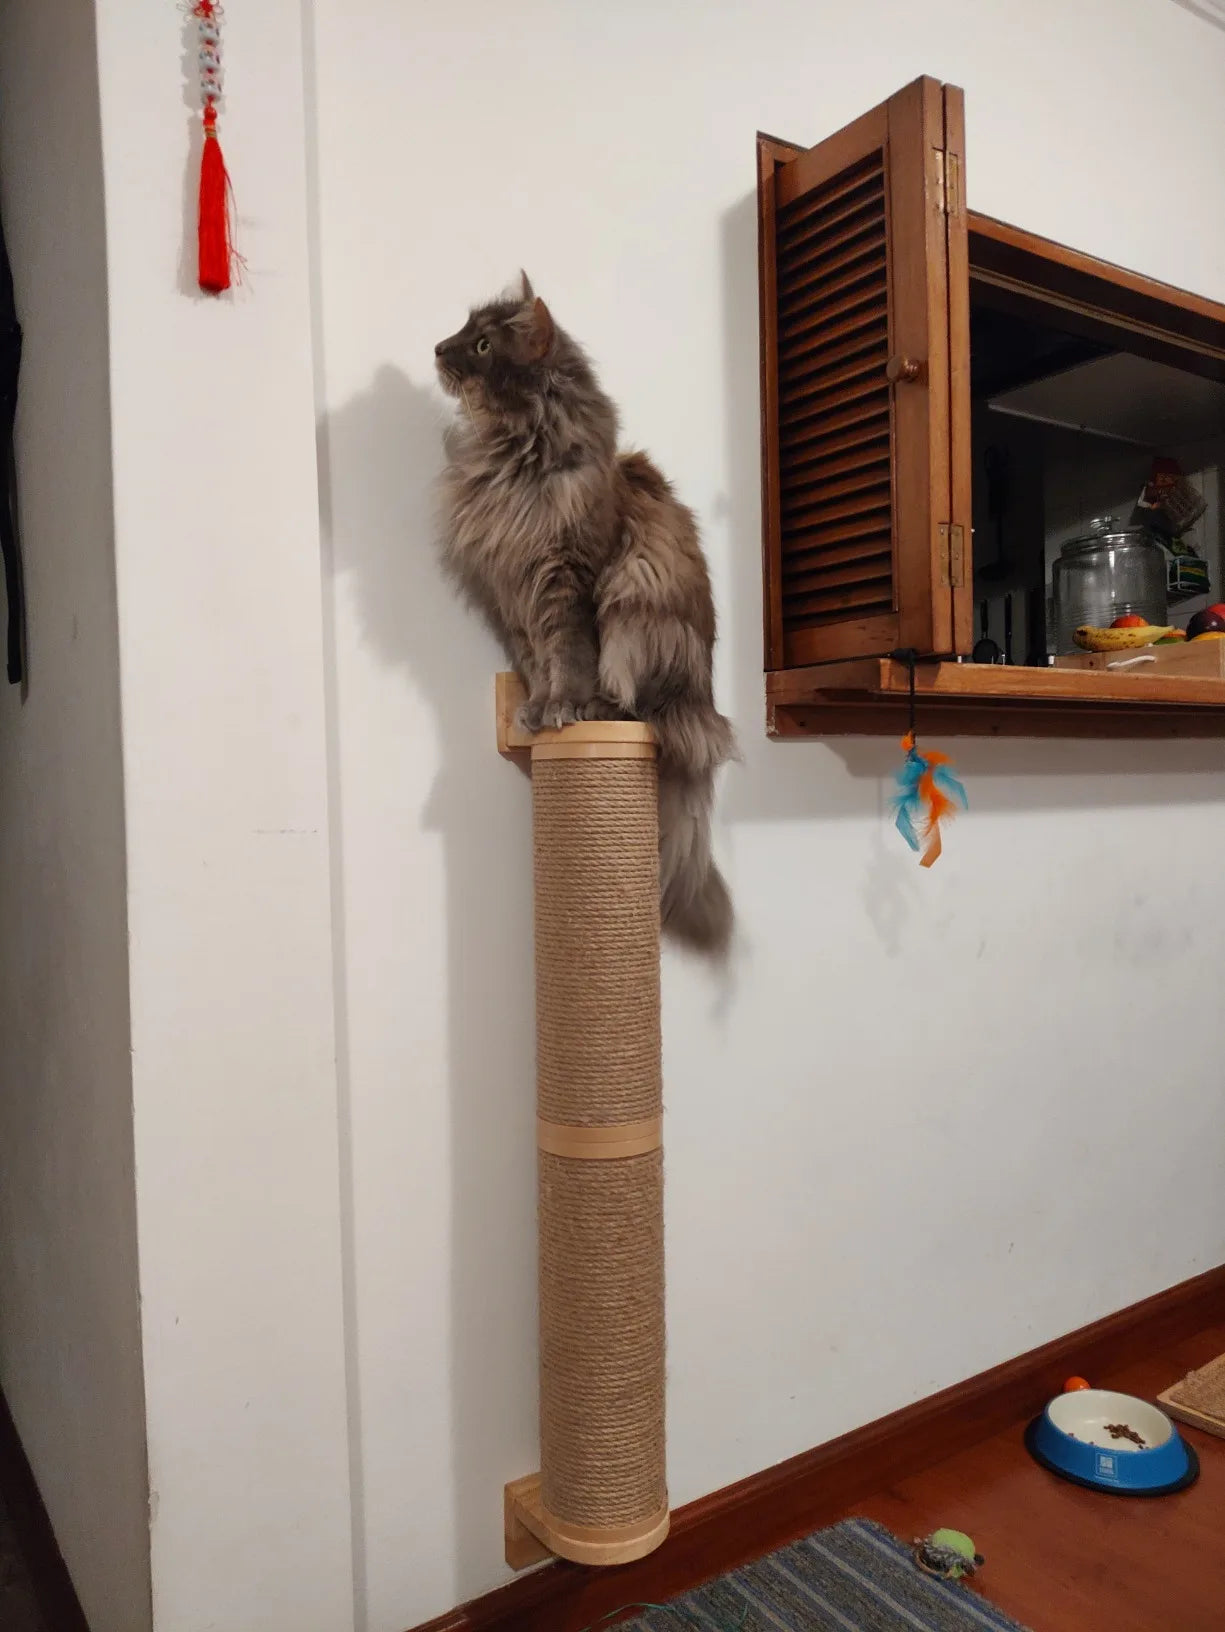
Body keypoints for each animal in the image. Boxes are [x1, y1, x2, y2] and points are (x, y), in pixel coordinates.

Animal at [434, 274, 735, 954]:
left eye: (483, 345)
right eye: (463, 331)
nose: (438, 348)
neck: (510, 463)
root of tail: (703, 710)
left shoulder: (568, 584)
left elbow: (570, 659)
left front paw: (564, 710)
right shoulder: (516, 599)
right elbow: (539, 666)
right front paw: (537, 713)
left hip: (634, 611)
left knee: (633, 706)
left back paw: (598, 710)